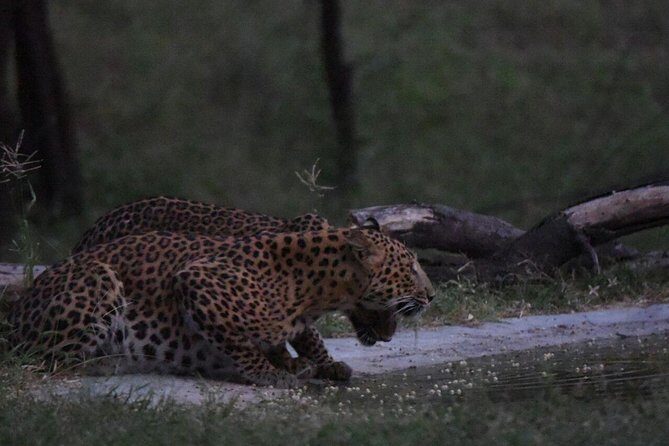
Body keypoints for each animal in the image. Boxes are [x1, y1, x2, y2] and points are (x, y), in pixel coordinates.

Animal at [8, 228, 435, 387]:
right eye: (412, 267)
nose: (432, 296)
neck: (316, 290)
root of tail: (16, 311)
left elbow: (306, 336)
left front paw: (320, 363)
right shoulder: (196, 281)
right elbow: (238, 342)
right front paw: (273, 373)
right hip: (99, 278)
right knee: (46, 359)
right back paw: (107, 362)